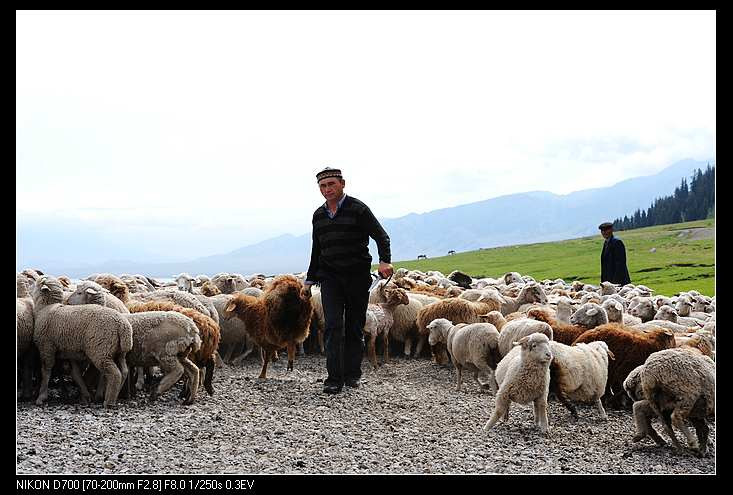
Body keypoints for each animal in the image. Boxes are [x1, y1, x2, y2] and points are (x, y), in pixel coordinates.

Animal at [31, 276, 133, 406]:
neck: (45, 308)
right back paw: (114, 394)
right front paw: (85, 395)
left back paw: (108, 401)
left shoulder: (46, 346)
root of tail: (122, 326)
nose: (68, 301)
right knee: (124, 371)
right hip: (119, 351)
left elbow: (46, 371)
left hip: (101, 351)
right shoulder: (71, 352)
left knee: (115, 374)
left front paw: (41, 397)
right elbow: (76, 374)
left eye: (36, 284)